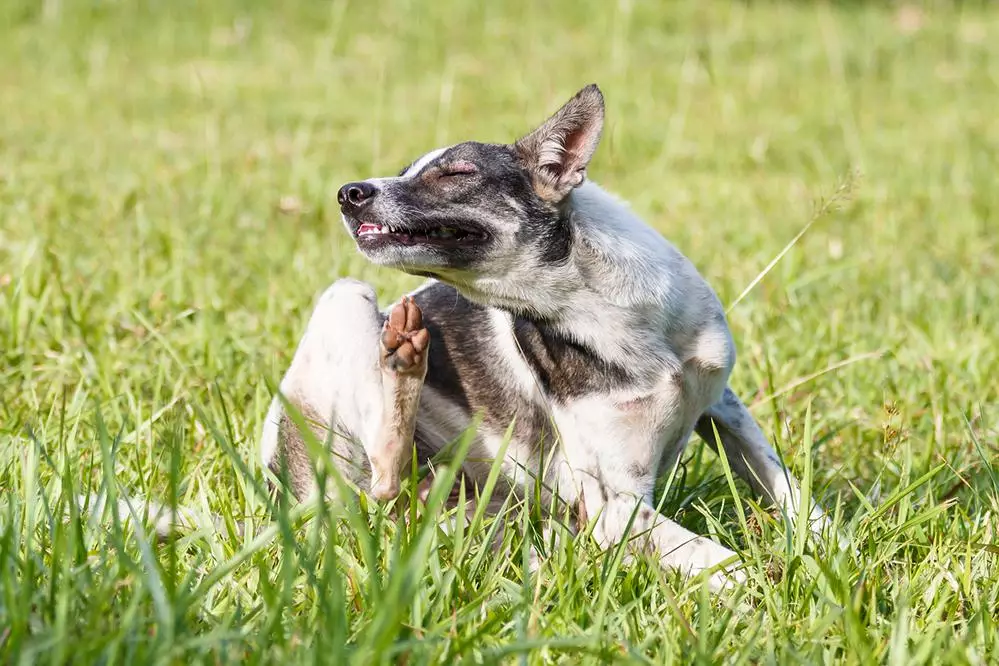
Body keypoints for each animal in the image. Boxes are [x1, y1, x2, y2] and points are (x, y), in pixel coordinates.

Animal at [260, 83, 828, 588]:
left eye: (456, 173)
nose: (347, 193)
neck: (600, 308)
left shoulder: (723, 405)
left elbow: (792, 492)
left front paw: (827, 550)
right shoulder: (615, 507)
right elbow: (724, 562)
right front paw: (776, 587)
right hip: (345, 298)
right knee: (384, 477)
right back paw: (401, 356)